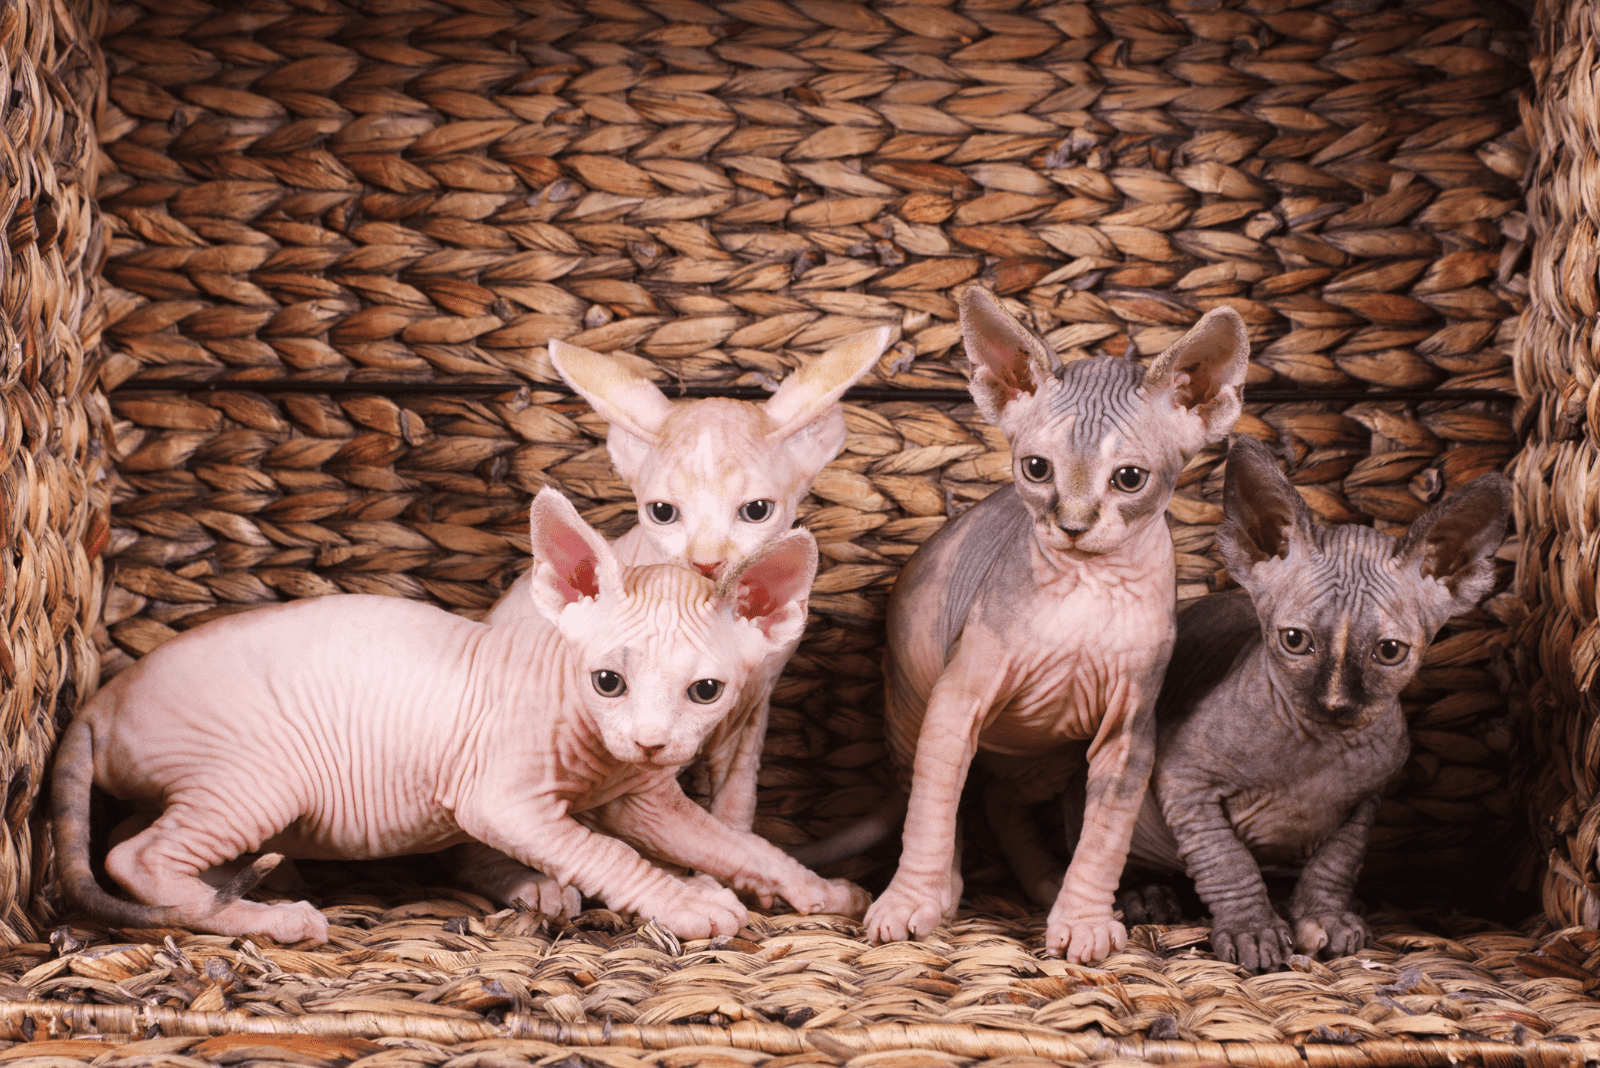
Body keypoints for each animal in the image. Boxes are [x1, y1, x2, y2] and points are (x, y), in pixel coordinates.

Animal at [56, 489, 870, 940]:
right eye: (607, 681)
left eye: (706, 692)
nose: (649, 741)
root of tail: (101, 698)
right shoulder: (503, 801)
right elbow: (609, 853)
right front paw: (687, 908)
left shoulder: (640, 796)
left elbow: (739, 845)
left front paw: (816, 890)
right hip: (261, 774)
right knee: (134, 859)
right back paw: (265, 918)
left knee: (130, 845)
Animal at [460, 327, 889, 908]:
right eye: (662, 513)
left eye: (756, 511)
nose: (706, 560)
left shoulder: (750, 711)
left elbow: (734, 814)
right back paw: (533, 884)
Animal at [1088, 434, 1510, 978]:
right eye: (1295, 641)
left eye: (1389, 651)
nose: (1335, 702)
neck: (1316, 745)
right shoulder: (1185, 784)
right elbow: (1226, 860)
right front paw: (1252, 930)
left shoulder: (1365, 802)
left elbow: (1336, 863)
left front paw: (1324, 917)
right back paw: (1148, 896)